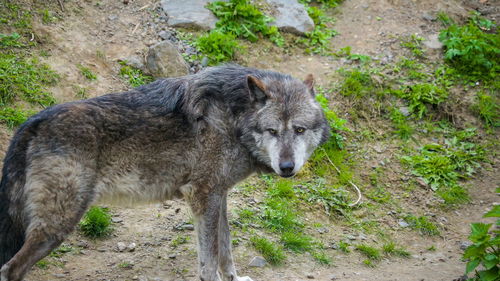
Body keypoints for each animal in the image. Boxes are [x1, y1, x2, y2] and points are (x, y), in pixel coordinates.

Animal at [0, 64, 332, 280]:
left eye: (299, 130)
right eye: (272, 131)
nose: (287, 167)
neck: (235, 118)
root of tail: (33, 121)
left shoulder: (218, 196)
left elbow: (225, 251)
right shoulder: (202, 196)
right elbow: (209, 261)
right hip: (58, 224)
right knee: (10, 269)